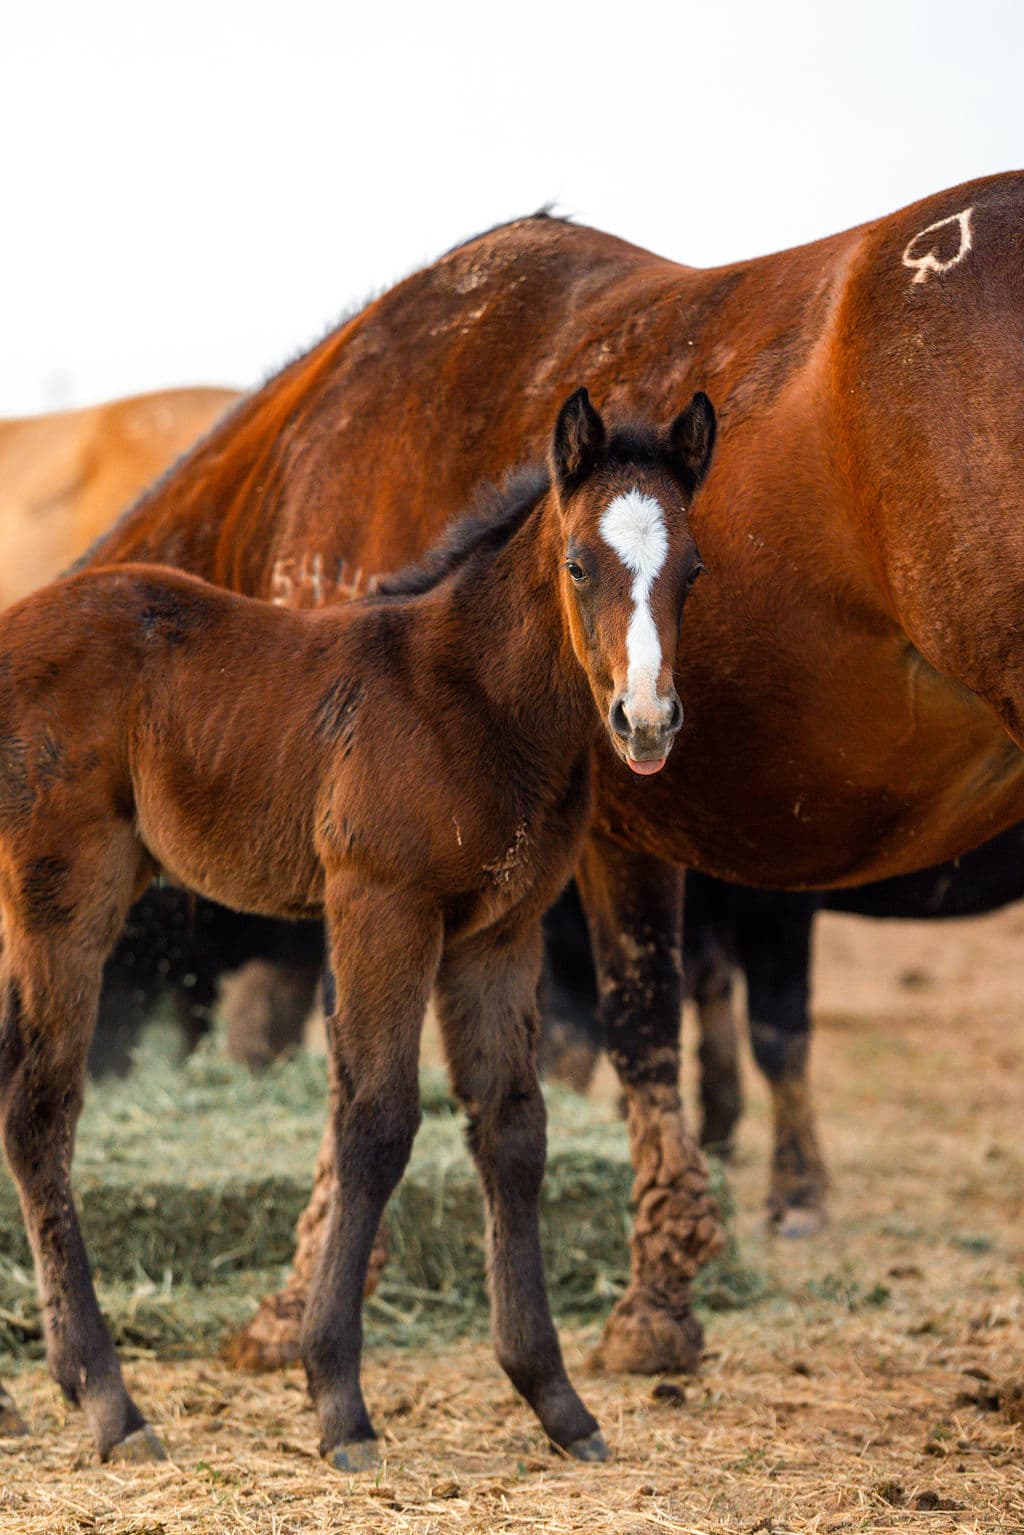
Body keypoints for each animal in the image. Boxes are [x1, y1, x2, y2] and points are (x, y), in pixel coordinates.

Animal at [0, 390, 716, 1467]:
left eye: (692, 568)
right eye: (579, 563)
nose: (646, 721)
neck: (472, 700)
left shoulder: (500, 933)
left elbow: (513, 1130)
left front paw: (554, 1398)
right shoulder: (382, 905)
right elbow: (374, 1121)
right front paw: (338, 1397)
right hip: (63, 897)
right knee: (38, 1113)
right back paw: (111, 1401)